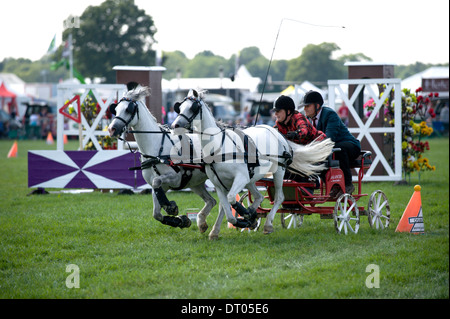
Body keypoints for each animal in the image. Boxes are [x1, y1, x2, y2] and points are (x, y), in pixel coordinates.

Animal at [108, 85, 215, 232]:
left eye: (128, 109)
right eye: (116, 109)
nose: (111, 129)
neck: (156, 148)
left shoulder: (175, 178)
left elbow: (157, 181)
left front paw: (171, 206)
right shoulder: (160, 187)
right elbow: (156, 214)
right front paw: (182, 220)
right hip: (196, 183)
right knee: (211, 201)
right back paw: (202, 223)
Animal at [172, 89, 334, 239]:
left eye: (193, 107)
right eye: (180, 107)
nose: (175, 125)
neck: (219, 147)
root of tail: (279, 134)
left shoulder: (240, 178)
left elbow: (232, 200)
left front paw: (247, 216)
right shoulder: (219, 184)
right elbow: (227, 210)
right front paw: (223, 228)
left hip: (278, 172)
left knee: (279, 198)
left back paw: (267, 224)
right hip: (252, 178)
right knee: (259, 197)